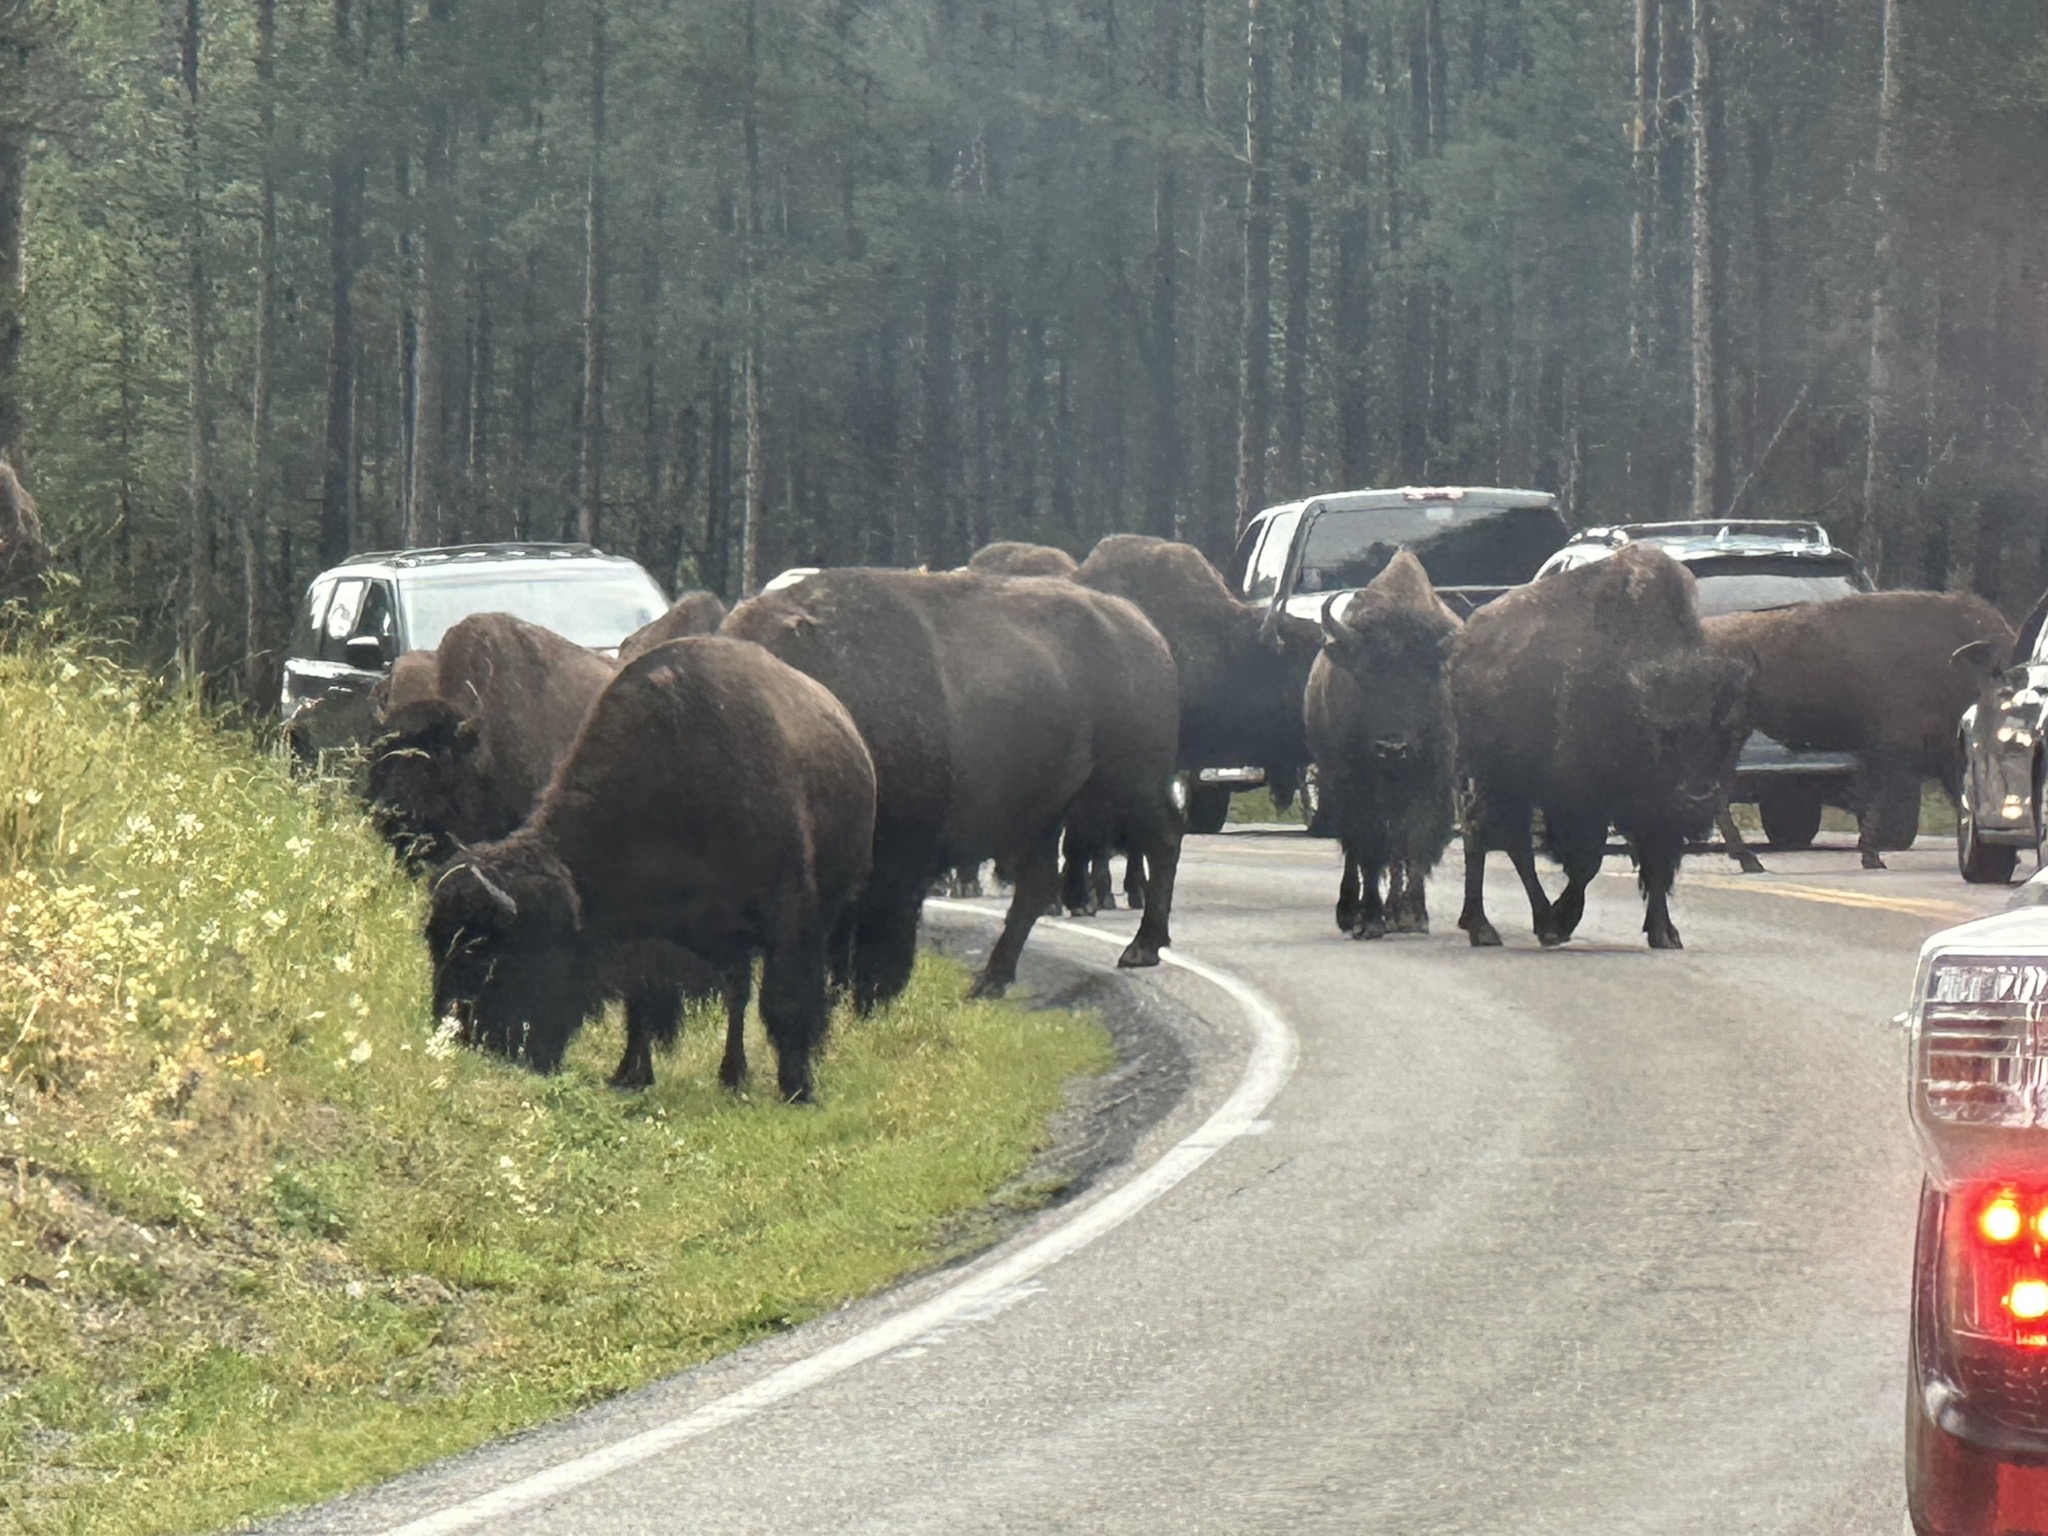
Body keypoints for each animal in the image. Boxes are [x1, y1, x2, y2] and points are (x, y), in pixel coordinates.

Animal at [427, 637, 875, 1102]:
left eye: (489, 954)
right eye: (435, 945)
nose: (464, 1041)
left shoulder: (789, 919)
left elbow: (786, 1001)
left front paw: (798, 1088)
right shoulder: (646, 938)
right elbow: (641, 1003)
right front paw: (630, 1075)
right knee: (736, 994)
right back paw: (732, 1074)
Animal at [721, 568, 1182, 1006]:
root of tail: (1142, 629)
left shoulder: (895, 860)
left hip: (1129, 782)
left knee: (1163, 840)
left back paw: (1140, 949)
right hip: (1044, 814)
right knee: (1036, 886)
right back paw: (990, 980)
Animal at [1303, 552, 1461, 940]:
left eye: (1425, 679)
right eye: (1366, 675)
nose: (1392, 747)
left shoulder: (1431, 783)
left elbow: (1414, 841)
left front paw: (1413, 915)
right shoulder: (1355, 785)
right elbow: (1370, 847)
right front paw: (1371, 918)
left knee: (1396, 848)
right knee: (1357, 850)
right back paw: (1352, 913)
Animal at [1453, 544, 1751, 950]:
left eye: (1731, 735)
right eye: (1665, 734)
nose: (1698, 797)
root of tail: (1468, 640)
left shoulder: (1658, 816)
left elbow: (1657, 868)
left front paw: (1665, 934)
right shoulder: (1581, 801)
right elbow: (1588, 863)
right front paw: (1561, 922)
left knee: (1510, 841)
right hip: (1497, 778)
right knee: (1484, 833)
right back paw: (1487, 927)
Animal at [1705, 591, 2014, 871]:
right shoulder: (1894, 751)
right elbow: (1879, 801)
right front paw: (1872, 856)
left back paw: (1745, 858)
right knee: (1719, 793)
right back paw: (1747, 858)